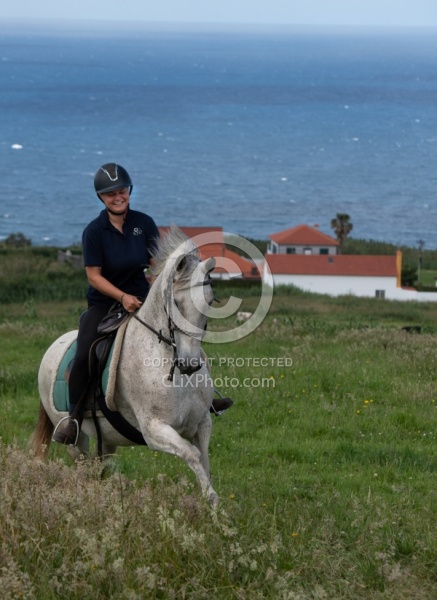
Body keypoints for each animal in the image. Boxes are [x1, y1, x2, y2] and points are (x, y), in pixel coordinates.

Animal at [31, 227, 218, 508]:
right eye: (176, 302)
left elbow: (205, 462)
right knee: (83, 468)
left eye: (210, 300)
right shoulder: (154, 430)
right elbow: (193, 455)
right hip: (75, 442)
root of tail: (54, 346)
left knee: (98, 468)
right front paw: (214, 507)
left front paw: (217, 510)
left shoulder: (202, 423)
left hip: (107, 439)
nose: (189, 364)